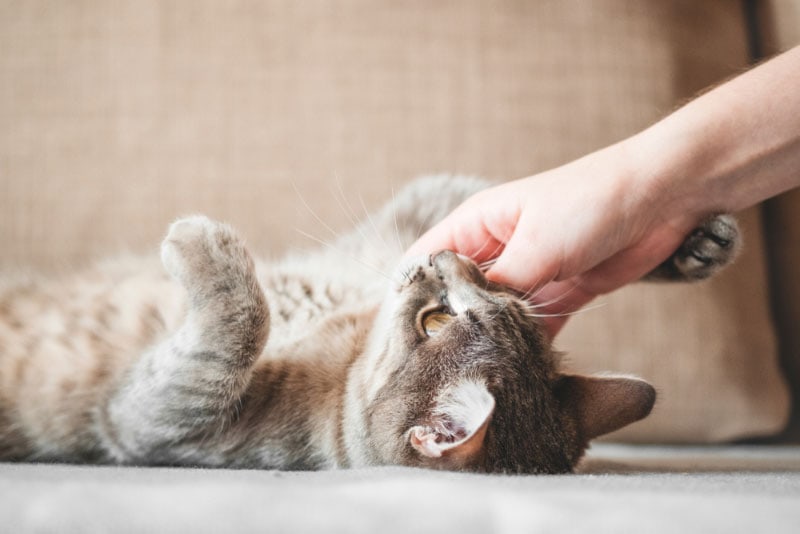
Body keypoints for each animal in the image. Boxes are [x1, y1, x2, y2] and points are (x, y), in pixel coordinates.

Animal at [0, 176, 740, 474]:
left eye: (434, 320)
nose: (450, 261)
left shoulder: (151, 424)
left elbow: (234, 331)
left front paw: (204, 245)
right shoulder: (405, 222)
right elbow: (475, 188)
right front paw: (689, 242)